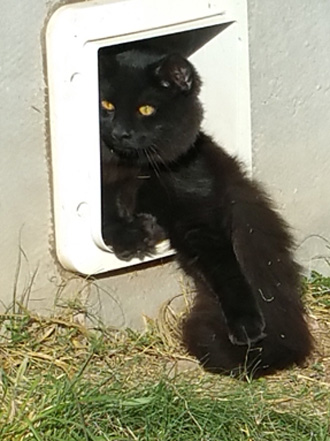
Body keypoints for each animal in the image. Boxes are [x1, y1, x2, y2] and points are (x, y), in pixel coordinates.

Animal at [97, 48, 312, 378]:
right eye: (106, 105)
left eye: (146, 109)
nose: (120, 133)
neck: (138, 170)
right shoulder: (105, 187)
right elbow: (106, 219)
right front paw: (134, 237)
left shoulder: (198, 215)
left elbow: (227, 269)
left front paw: (248, 325)